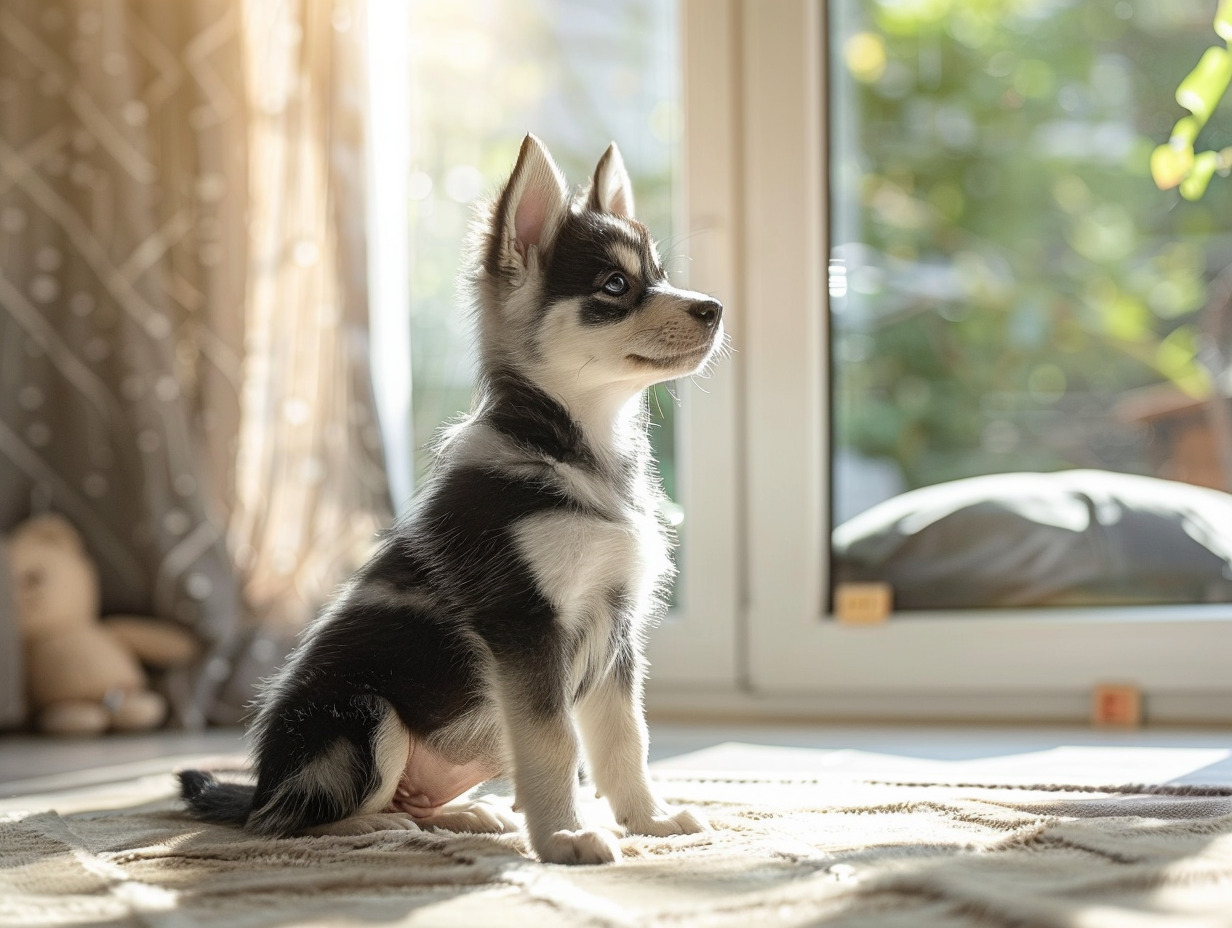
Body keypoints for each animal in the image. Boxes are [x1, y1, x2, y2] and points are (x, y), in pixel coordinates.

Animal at [179, 133, 724, 867]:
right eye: (616, 286)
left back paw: (461, 816)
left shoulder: (617, 630)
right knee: (287, 819)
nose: (714, 309)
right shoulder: (526, 626)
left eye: (660, 276)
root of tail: (260, 783)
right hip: (367, 717)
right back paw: (369, 829)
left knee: (375, 802)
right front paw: (564, 836)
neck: (575, 451)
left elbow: (623, 742)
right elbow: (556, 744)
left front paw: (649, 821)